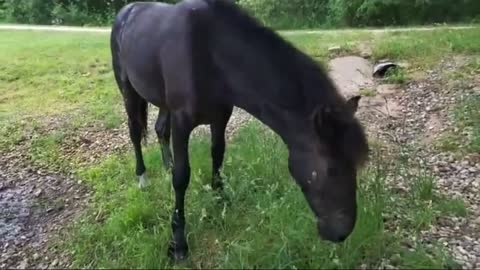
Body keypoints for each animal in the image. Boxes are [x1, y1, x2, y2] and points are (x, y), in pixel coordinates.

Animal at [110, 0, 370, 262]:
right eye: (331, 169)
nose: (341, 233)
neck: (208, 53)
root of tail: (126, 11)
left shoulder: (221, 116)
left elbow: (218, 153)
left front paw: (220, 197)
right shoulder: (182, 122)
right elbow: (181, 177)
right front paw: (178, 242)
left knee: (160, 129)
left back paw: (166, 164)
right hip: (128, 91)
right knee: (135, 133)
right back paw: (142, 177)